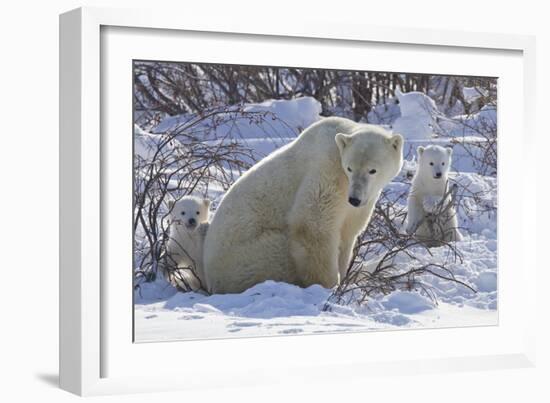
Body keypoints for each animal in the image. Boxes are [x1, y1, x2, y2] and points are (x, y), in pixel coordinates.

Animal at [205, 117, 404, 294]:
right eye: (349, 168)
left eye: (373, 170)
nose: (354, 199)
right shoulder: (327, 169)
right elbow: (313, 225)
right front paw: (331, 284)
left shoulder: (362, 199)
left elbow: (348, 231)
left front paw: (345, 275)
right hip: (251, 256)